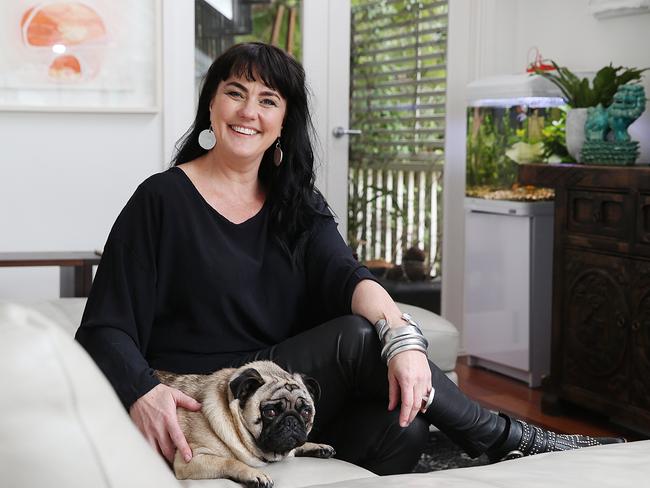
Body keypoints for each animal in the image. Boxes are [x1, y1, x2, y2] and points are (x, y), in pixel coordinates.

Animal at [154, 360, 332, 486]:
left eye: (306, 412)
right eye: (270, 412)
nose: (291, 421)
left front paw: (317, 446)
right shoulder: (190, 460)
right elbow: (229, 461)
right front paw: (254, 475)